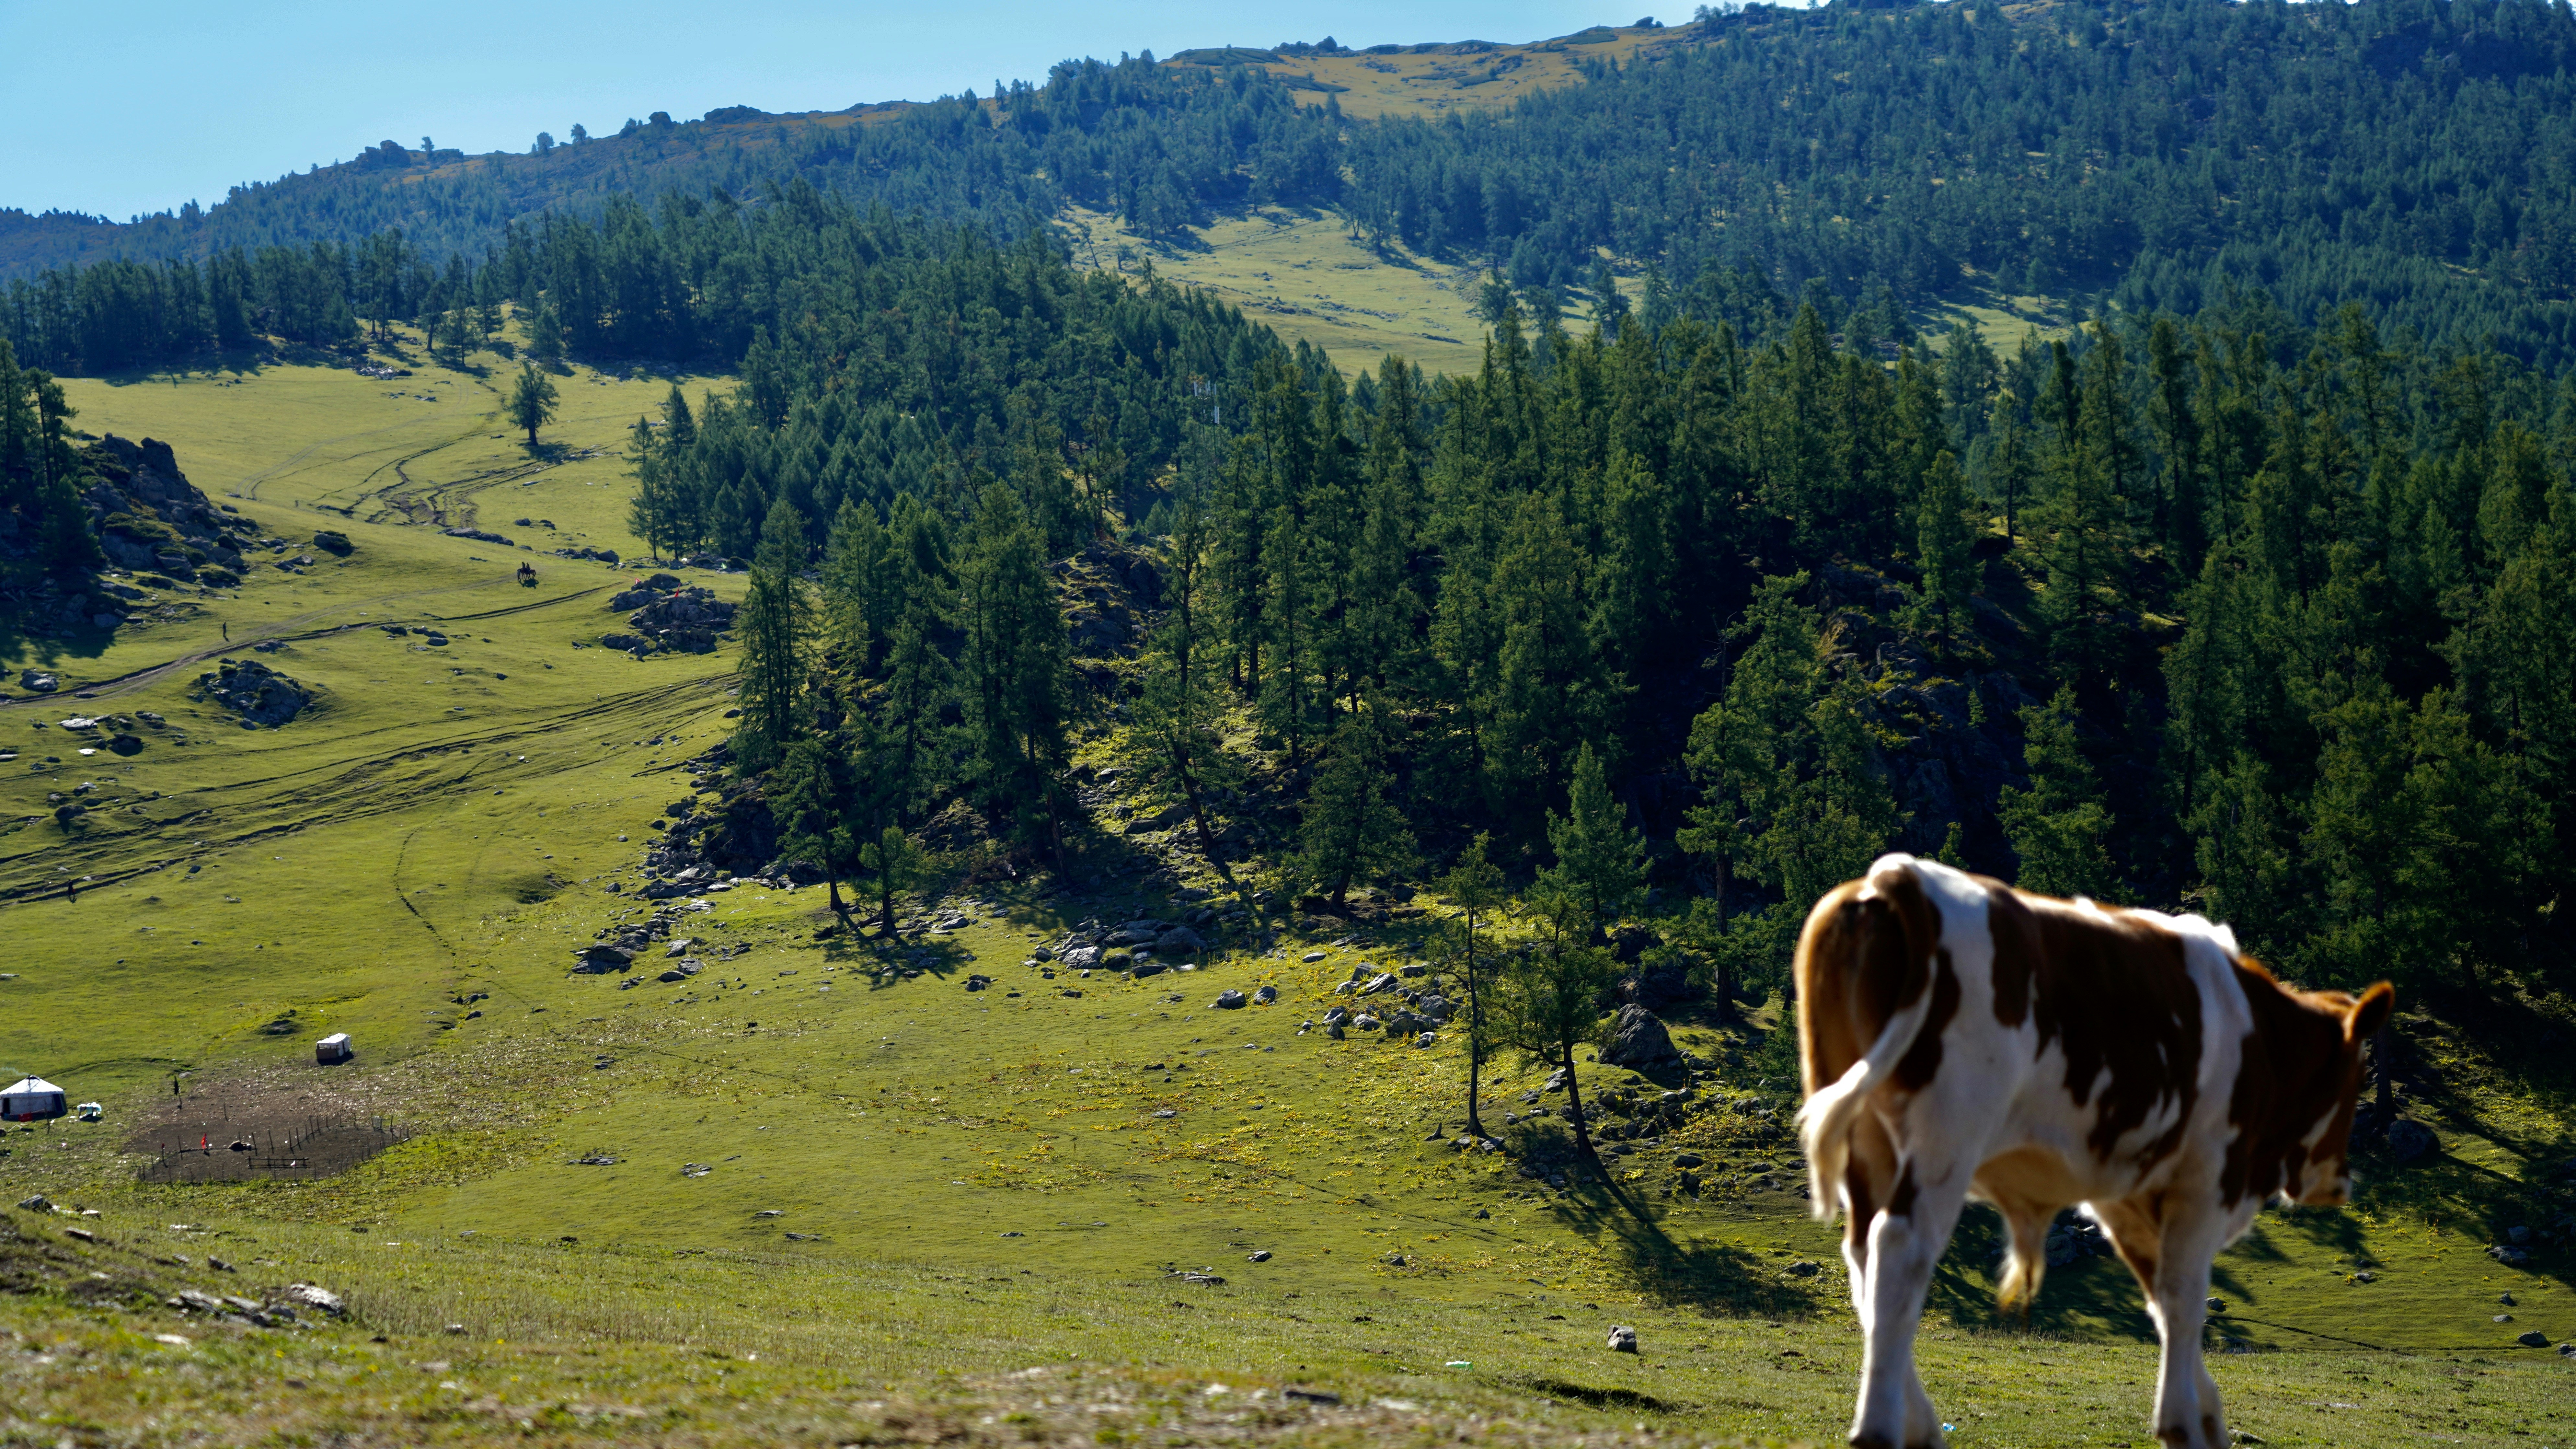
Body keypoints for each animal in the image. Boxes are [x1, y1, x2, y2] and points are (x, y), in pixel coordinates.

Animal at [1794, 853, 2392, 1449]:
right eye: (2357, 1074)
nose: (2338, 1183)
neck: (2260, 1036)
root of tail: (1900, 876)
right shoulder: (2204, 1179)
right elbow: (2183, 1298)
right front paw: (2181, 1418)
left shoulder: (2123, 1193)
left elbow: (2160, 1296)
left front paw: (2207, 1413)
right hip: (1946, 1136)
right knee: (1900, 1247)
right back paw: (1879, 1425)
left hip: (1866, 1136)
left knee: (1864, 1255)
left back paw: (1917, 1419)